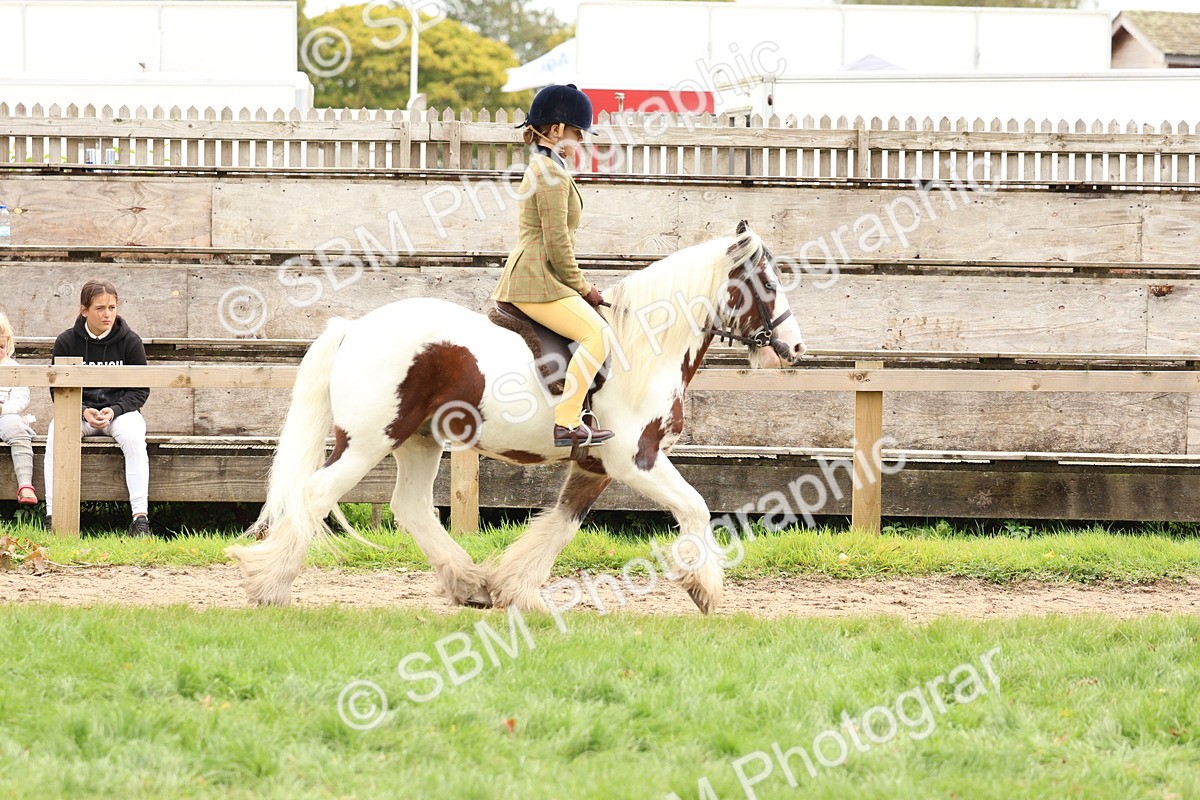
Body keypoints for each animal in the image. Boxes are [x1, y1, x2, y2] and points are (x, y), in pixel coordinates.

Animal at [226, 220, 806, 614]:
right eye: (768, 283)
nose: (795, 347)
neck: (643, 349)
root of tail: (355, 327)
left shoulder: (595, 464)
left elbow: (562, 525)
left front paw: (516, 589)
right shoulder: (635, 460)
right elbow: (696, 507)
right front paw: (704, 588)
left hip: (419, 441)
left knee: (410, 507)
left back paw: (469, 584)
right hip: (369, 441)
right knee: (315, 495)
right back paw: (269, 585)